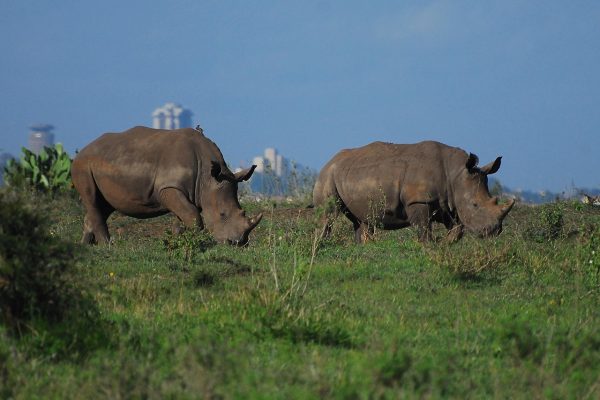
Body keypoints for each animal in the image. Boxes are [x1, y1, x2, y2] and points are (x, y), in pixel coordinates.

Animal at [69, 126, 260, 245]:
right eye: (222, 214)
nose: (238, 243)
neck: (208, 177)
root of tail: (84, 149)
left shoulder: (190, 191)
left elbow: (184, 216)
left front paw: (178, 240)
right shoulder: (169, 187)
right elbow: (192, 215)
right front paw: (197, 241)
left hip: (104, 162)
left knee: (104, 205)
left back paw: (85, 246)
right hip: (83, 165)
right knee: (92, 199)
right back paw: (107, 245)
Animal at [314, 141, 516, 242]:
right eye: (474, 205)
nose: (494, 231)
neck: (455, 173)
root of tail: (329, 160)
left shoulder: (448, 203)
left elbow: (457, 230)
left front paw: (444, 244)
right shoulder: (419, 200)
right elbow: (424, 229)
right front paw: (430, 246)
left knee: (361, 221)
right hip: (328, 175)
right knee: (328, 214)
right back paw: (322, 246)